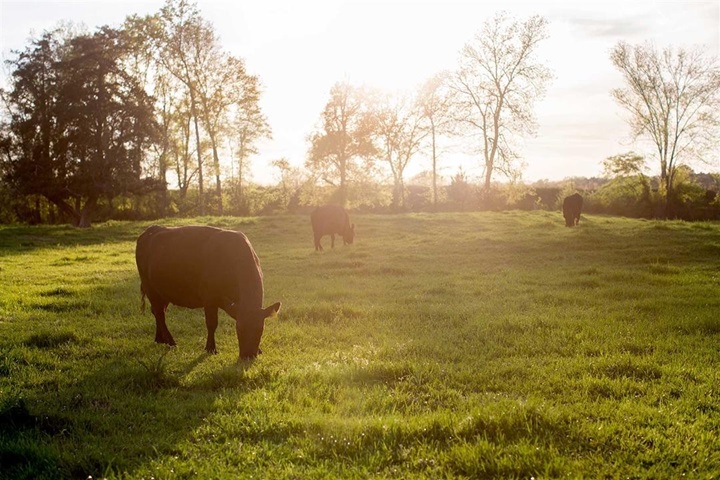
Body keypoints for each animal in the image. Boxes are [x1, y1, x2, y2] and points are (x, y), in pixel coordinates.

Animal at [135, 226, 282, 360]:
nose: (248, 356)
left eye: (260, 329)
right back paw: (171, 342)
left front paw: (259, 350)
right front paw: (210, 348)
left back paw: (160, 339)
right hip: (150, 287)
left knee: (158, 312)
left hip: (162, 292)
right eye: (238, 329)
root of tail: (149, 230)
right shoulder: (209, 298)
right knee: (159, 313)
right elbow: (212, 324)